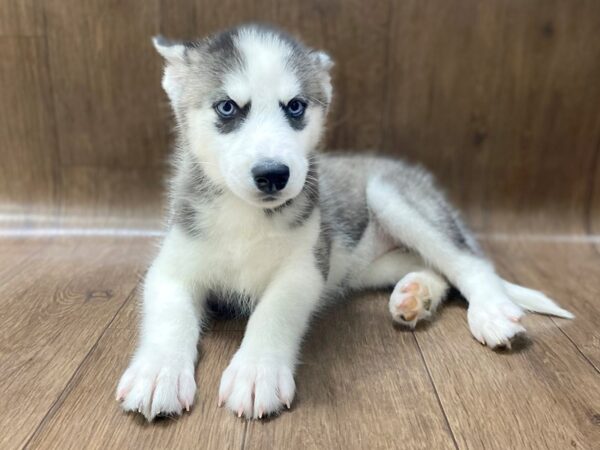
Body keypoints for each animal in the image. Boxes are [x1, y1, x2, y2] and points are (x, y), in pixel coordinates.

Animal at [116, 23, 572, 422]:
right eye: (227, 107)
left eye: (295, 107)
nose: (273, 174)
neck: (246, 217)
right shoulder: (172, 266)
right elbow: (170, 313)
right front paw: (157, 373)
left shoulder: (306, 267)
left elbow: (273, 312)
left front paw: (257, 371)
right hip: (362, 266)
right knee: (433, 267)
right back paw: (417, 294)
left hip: (391, 197)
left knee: (468, 262)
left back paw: (490, 311)